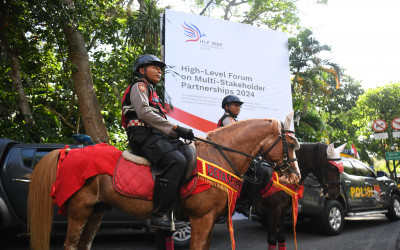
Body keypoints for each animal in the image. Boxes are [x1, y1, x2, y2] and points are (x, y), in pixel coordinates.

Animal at [27, 113, 300, 250]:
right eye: (292, 144)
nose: (295, 175)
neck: (220, 156)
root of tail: (68, 152)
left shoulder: (209, 221)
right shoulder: (201, 219)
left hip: (96, 211)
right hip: (79, 210)